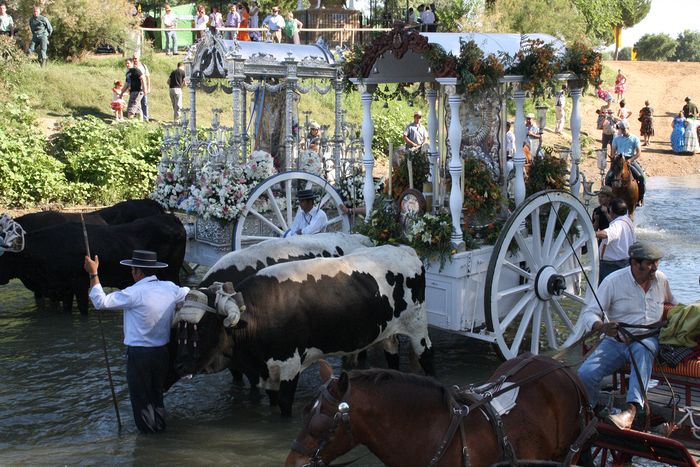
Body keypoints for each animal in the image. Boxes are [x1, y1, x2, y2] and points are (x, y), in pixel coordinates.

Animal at [0, 214, 186, 315]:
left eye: (2, 256)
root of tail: (171, 217)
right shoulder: (63, 288)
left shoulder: (79, 283)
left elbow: (83, 308)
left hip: (171, 272)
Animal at [171, 244, 434, 416]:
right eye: (179, 330)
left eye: (203, 328)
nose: (179, 365)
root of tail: (404, 249)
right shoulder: (268, 373)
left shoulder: (290, 366)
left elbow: (286, 404)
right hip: (387, 332)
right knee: (392, 354)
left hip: (418, 326)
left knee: (427, 356)